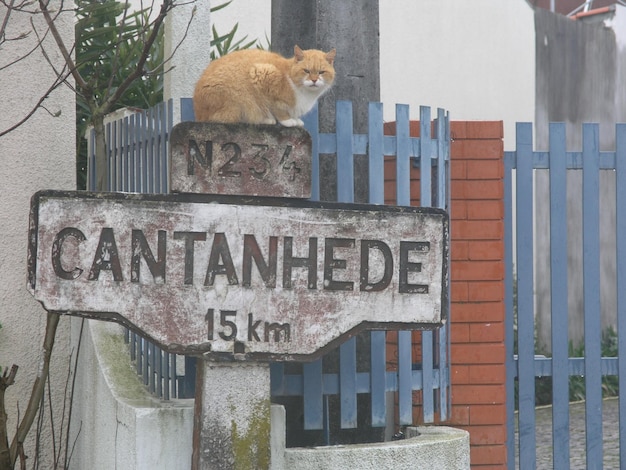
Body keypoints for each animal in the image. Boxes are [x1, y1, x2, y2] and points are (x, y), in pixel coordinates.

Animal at [191, 45, 334, 126]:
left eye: (321, 72)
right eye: (306, 71)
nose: (314, 80)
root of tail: (198, 113)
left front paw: (295, 119)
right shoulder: (262, 73)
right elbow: (277, 108)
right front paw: (287, 121)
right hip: (238, 104)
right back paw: (266, 119)